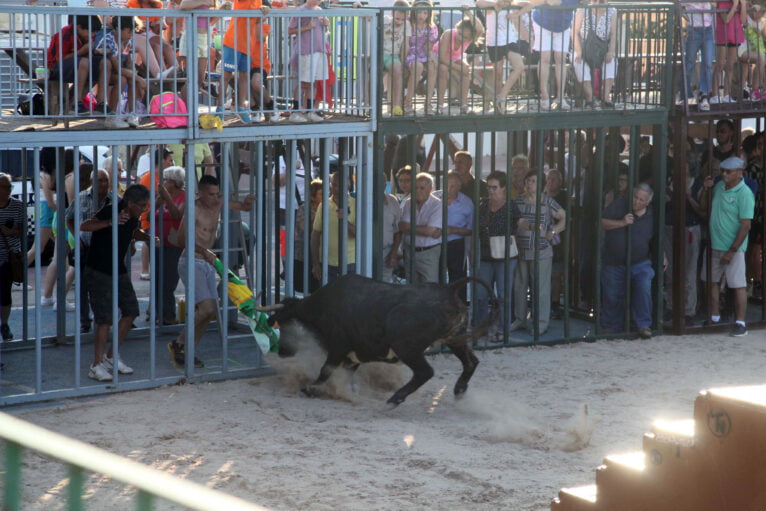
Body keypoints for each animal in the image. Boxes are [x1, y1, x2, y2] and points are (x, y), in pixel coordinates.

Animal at [268, 276, 500, 408]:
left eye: (284, 324)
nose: (280, 351)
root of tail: (448, 289)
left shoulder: (338, 347)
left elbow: (325, 370)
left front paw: (309, 389)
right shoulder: (353, 356)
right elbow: (342, 375)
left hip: (407, 347)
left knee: (425, 372)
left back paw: (395, 399)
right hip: (455, 339)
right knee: (470, 362)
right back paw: (459, 391)